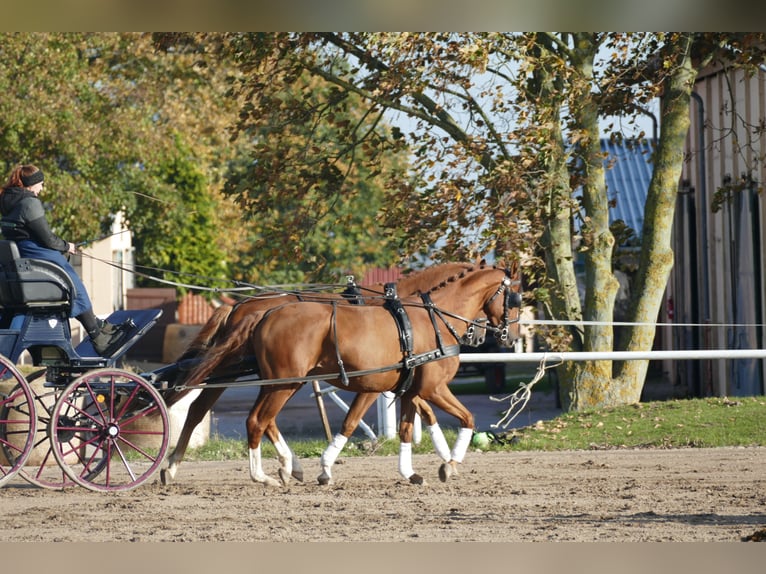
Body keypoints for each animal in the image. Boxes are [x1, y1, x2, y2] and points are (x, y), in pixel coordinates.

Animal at [181, 264, 520, 488]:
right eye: (515, 298)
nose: (511, 336)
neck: (424, 320)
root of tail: (258, 311)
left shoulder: (408, 389)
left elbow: (405, 428)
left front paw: (411, 471)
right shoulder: (431, 388)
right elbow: (467, 418)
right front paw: (450, 463)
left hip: (280, 382)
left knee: (249, 417)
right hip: (281, 382)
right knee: (253, 420)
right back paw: (260, 474)